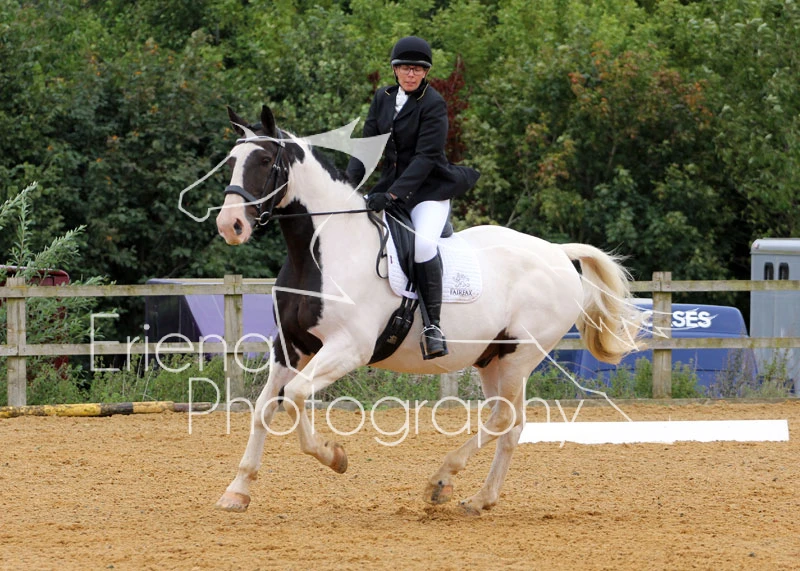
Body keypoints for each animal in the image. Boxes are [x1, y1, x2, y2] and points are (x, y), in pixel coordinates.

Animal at [213, 105, 644, 515]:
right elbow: (263, 408)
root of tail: (558, 253)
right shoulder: (289, 345)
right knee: (511, 423)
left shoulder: (349, 347)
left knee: (503, 418)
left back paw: (441, 480)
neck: (322, 250)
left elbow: (295, 396)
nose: (229, 225)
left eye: (265, 160)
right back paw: (479, 500)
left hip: (520, 355)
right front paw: (237, 491)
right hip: (492, 358)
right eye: (231, 160)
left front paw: (334, 456)